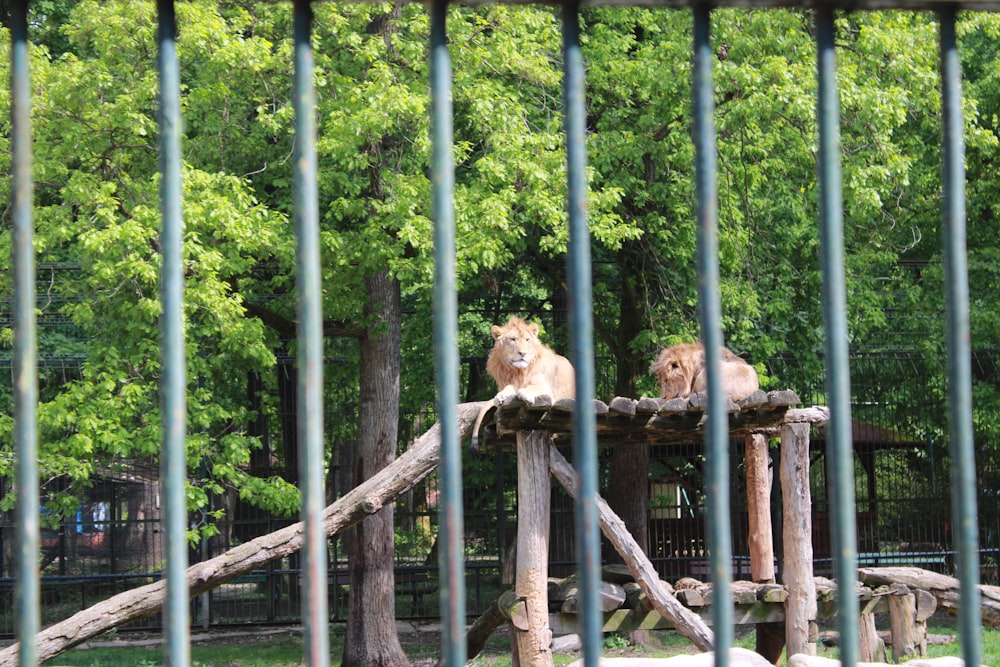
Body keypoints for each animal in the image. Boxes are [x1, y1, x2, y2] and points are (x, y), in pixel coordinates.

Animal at [470, 318, 576, 454]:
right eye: (513, 339)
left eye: (527, 340)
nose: (523, 353)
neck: (518, 372)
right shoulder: (508, 383)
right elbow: (507, 388)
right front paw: (500, 396)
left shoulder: (547, 388)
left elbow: (532, 387)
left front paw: (525, 393)